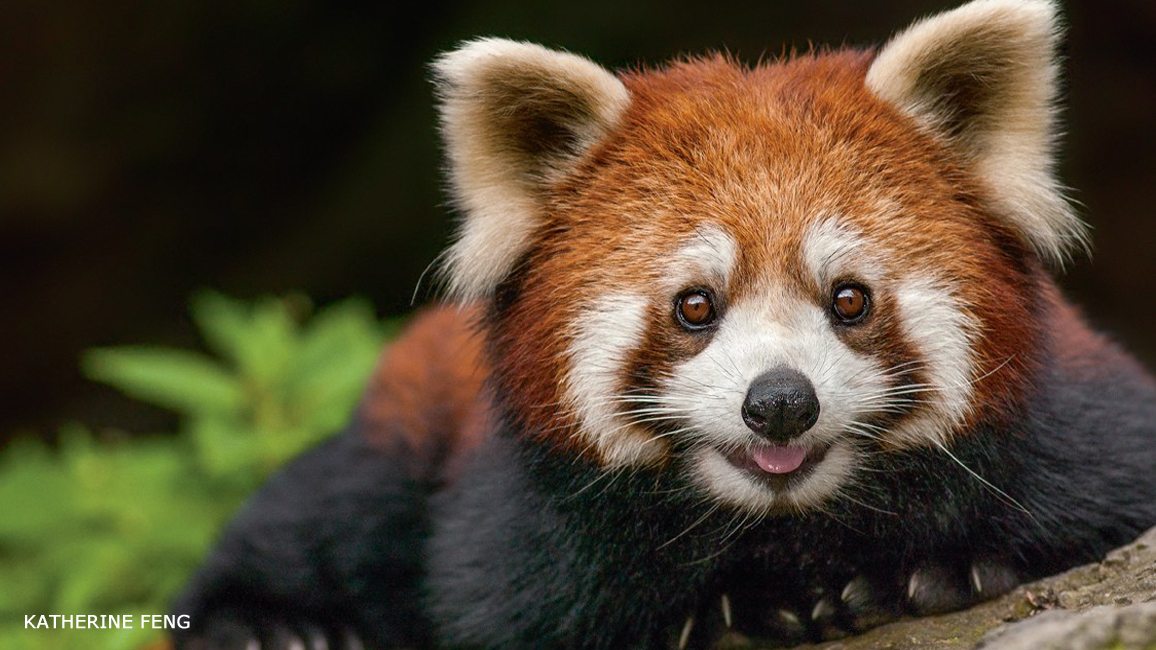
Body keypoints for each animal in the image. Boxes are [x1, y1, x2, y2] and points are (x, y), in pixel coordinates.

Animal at [171, 1, 1156, 647]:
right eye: (695, 306)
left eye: (849, 299)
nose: (780, 403)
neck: (787, 528)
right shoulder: (512, 533)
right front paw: (730, 610)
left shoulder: (1086, 426)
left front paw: (941, 570)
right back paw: (267, 625)